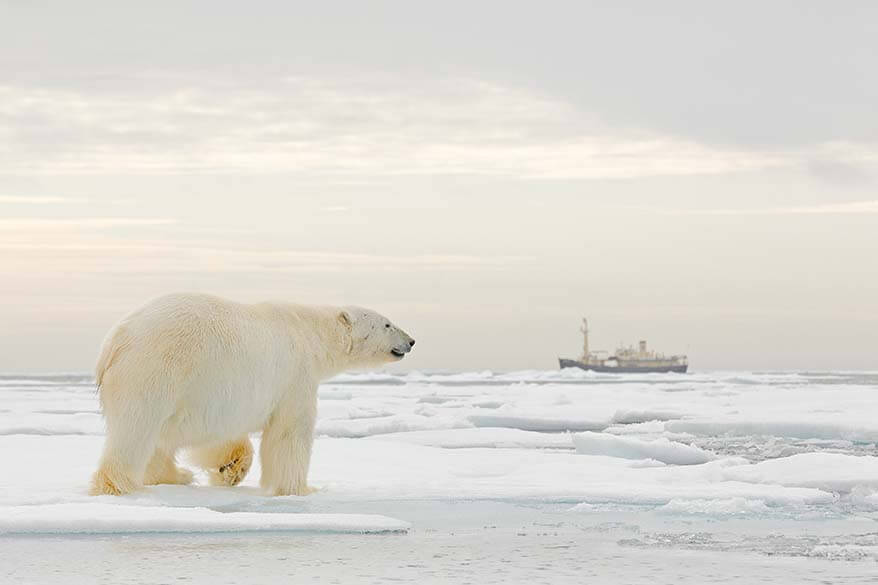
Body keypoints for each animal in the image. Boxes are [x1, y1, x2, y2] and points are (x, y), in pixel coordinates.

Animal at [89, 294, 416, 496]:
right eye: (387, 323)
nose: (411, 340)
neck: (311, 334)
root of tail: (115, 340)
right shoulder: (294, 374)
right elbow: (289, 433)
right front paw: (302, 488)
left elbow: (216, 433)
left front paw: (230, 468)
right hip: (156, 368)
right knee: (137, 429)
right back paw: (119, 484)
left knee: (159, 436)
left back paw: (177, 475)